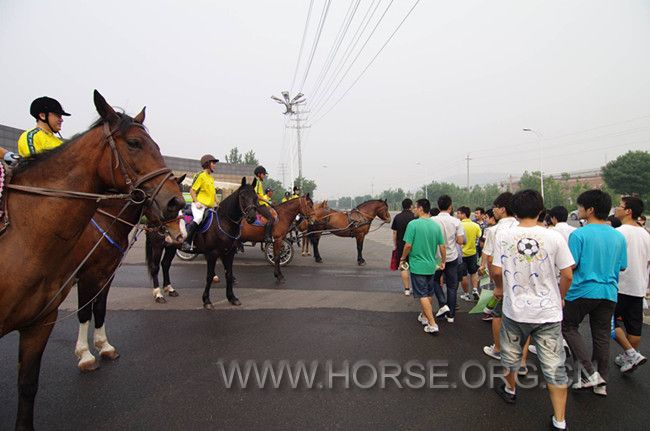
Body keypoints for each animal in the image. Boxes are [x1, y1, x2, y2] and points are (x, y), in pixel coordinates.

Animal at [73, 177, 186, 372]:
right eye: (171, 204)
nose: (180, 235)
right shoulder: (87, 277)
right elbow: (85, 311)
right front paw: (86, 355)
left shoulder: (106, 274)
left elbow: (100, 307)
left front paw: (104, 346)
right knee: (156, 267)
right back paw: (158, 293)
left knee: (164, 265)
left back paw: (169, 288)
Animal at [147, 177, 258, 308]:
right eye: (242, 196)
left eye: (255, 197)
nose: (252, 217)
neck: (223, 222)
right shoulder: (212, 254)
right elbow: (209, 276)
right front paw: (206, 300)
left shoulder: (229, 253)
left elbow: (229, 274)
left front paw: (232, 298)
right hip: (157, 246)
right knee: (155, 267)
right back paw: (158, 295)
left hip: (171, 247)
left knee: (165, 264)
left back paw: (170, 289)